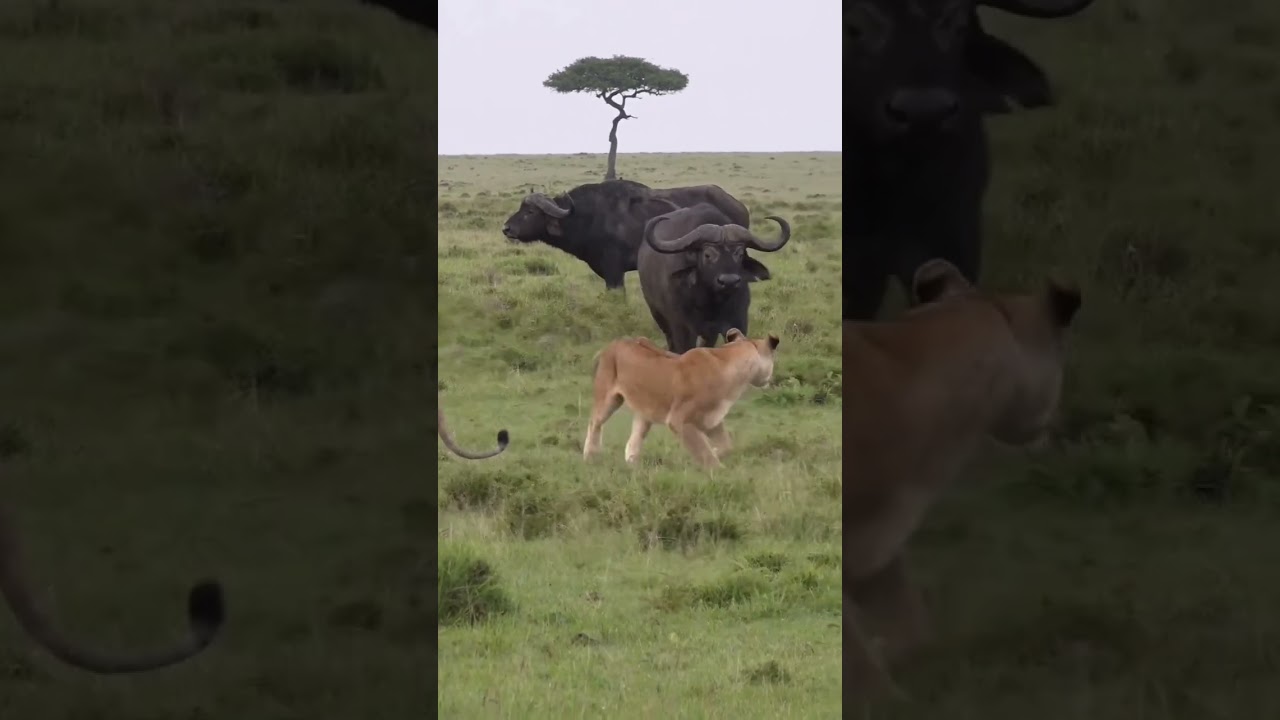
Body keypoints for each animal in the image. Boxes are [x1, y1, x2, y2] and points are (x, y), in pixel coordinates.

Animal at [583, 329, 780, 468]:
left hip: (645, 411)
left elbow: (726, 445)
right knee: (594, 423)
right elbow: (703, 451)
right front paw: (719, 472)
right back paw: (591, 457)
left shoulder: (712, 419)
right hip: (608, 399)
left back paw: (634, 466)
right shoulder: (679, 420)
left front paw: (716, 452)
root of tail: (612, 344)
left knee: (634, 439)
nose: (769, 380)